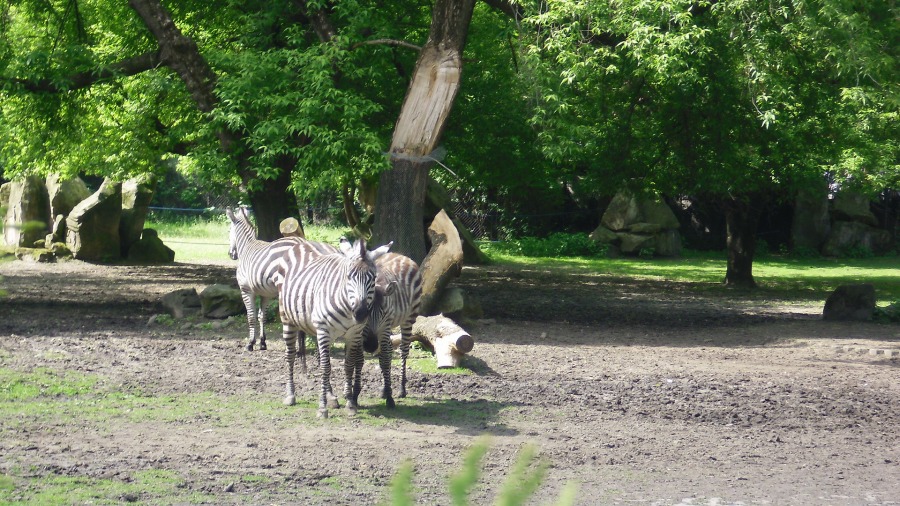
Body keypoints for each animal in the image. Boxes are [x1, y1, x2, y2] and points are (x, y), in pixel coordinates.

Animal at [227, 207, 336, 352]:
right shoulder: (265, 293)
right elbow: (262, 316)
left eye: (229, 230)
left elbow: (251, 317)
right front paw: (262, 342)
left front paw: (250, 343)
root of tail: (303, 243)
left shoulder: (245, 289)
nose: (231, 254)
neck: (247, 246)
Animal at [278, 235, 390, 418]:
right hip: (287, 318)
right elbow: (326, 367)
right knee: (291, 356)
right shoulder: (324, 330)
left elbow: (349, 365)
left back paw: (331, 397)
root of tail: (304, 242)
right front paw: (322, 408)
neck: (347, 308)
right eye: (349, 276)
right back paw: (290, 395)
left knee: (318, 357)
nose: (360, 313)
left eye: (373, 278)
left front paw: (350, 403)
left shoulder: (354, 334)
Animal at [348, 251, 426, 410]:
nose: (371, 345)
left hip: (408, 319)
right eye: (365, 313)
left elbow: (384, 360)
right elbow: (360, 359)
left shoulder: (384, 326)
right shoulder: (360, 331)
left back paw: (401, 389)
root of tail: (400, 254)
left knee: (402, 351)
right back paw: (385, 389)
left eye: (383, 312)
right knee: (388, 351)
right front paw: (355, 394)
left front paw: (390, 398)